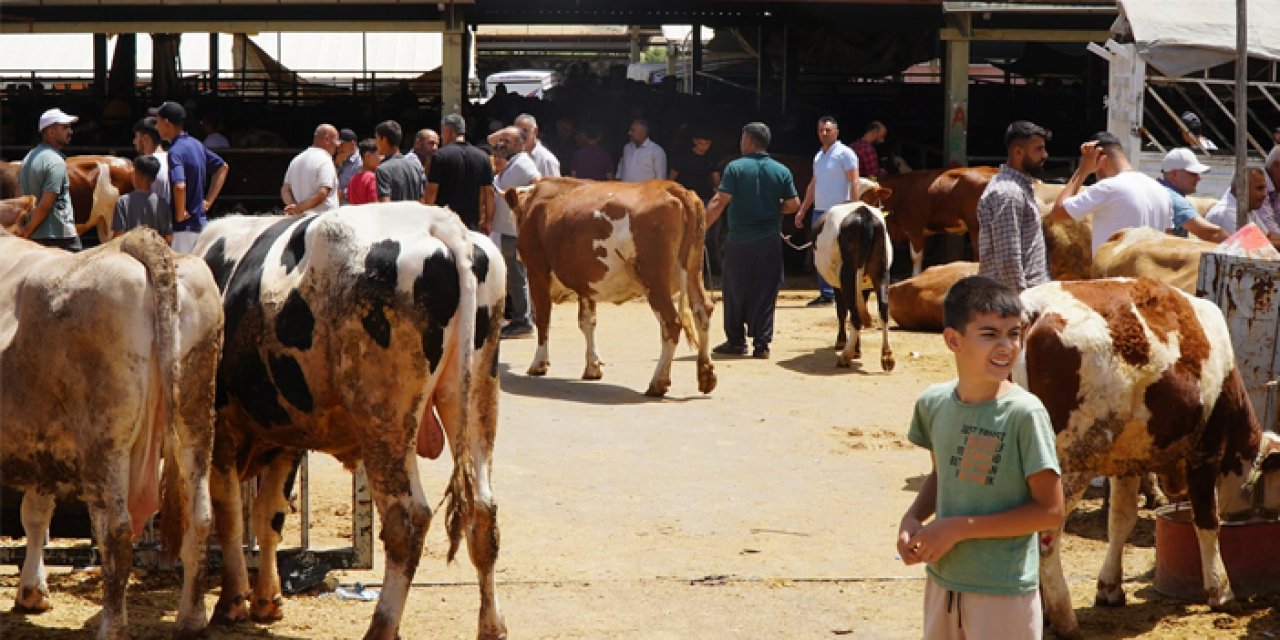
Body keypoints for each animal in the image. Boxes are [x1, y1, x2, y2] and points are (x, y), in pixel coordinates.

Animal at [0, 227, 222, 637]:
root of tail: (135, 242)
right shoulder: (42, 446)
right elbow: (36, 514)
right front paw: (32, 591)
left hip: (105, 441)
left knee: (115, 532)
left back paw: (112, 626)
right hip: (197, 419)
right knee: (199, 518)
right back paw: (192, 618)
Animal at [192, 204, 506, 640]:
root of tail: (440, 223)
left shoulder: (223, 428)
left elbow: (230, 517)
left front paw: (232, 602)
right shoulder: (288, 436)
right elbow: (269, 514)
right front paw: (267, 600)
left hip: (385, 419)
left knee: (408, 520)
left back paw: (382, 627)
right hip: (475, 399)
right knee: (483, 513)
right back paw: (491, 626)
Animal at [501, 177, 721, 396]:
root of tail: (670, 186)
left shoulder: (537, 272)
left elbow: (543, 319)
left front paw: (538, 364)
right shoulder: (585, 281)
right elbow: (587, 321)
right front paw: (593, 366)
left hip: (654, 280)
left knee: (671, 323)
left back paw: (658, 382)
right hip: (693, 272)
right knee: (703, 311)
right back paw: (706, 375)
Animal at [1008, 277, 1280, 637]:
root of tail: (1033, 311)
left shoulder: (1126, 463)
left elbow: (1121, 521)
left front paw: (1110, 587)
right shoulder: (1205, 453)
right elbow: (1207, 521)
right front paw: (1221, 590)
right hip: (1070, 467)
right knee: (1045, 540)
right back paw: (1064, 618)